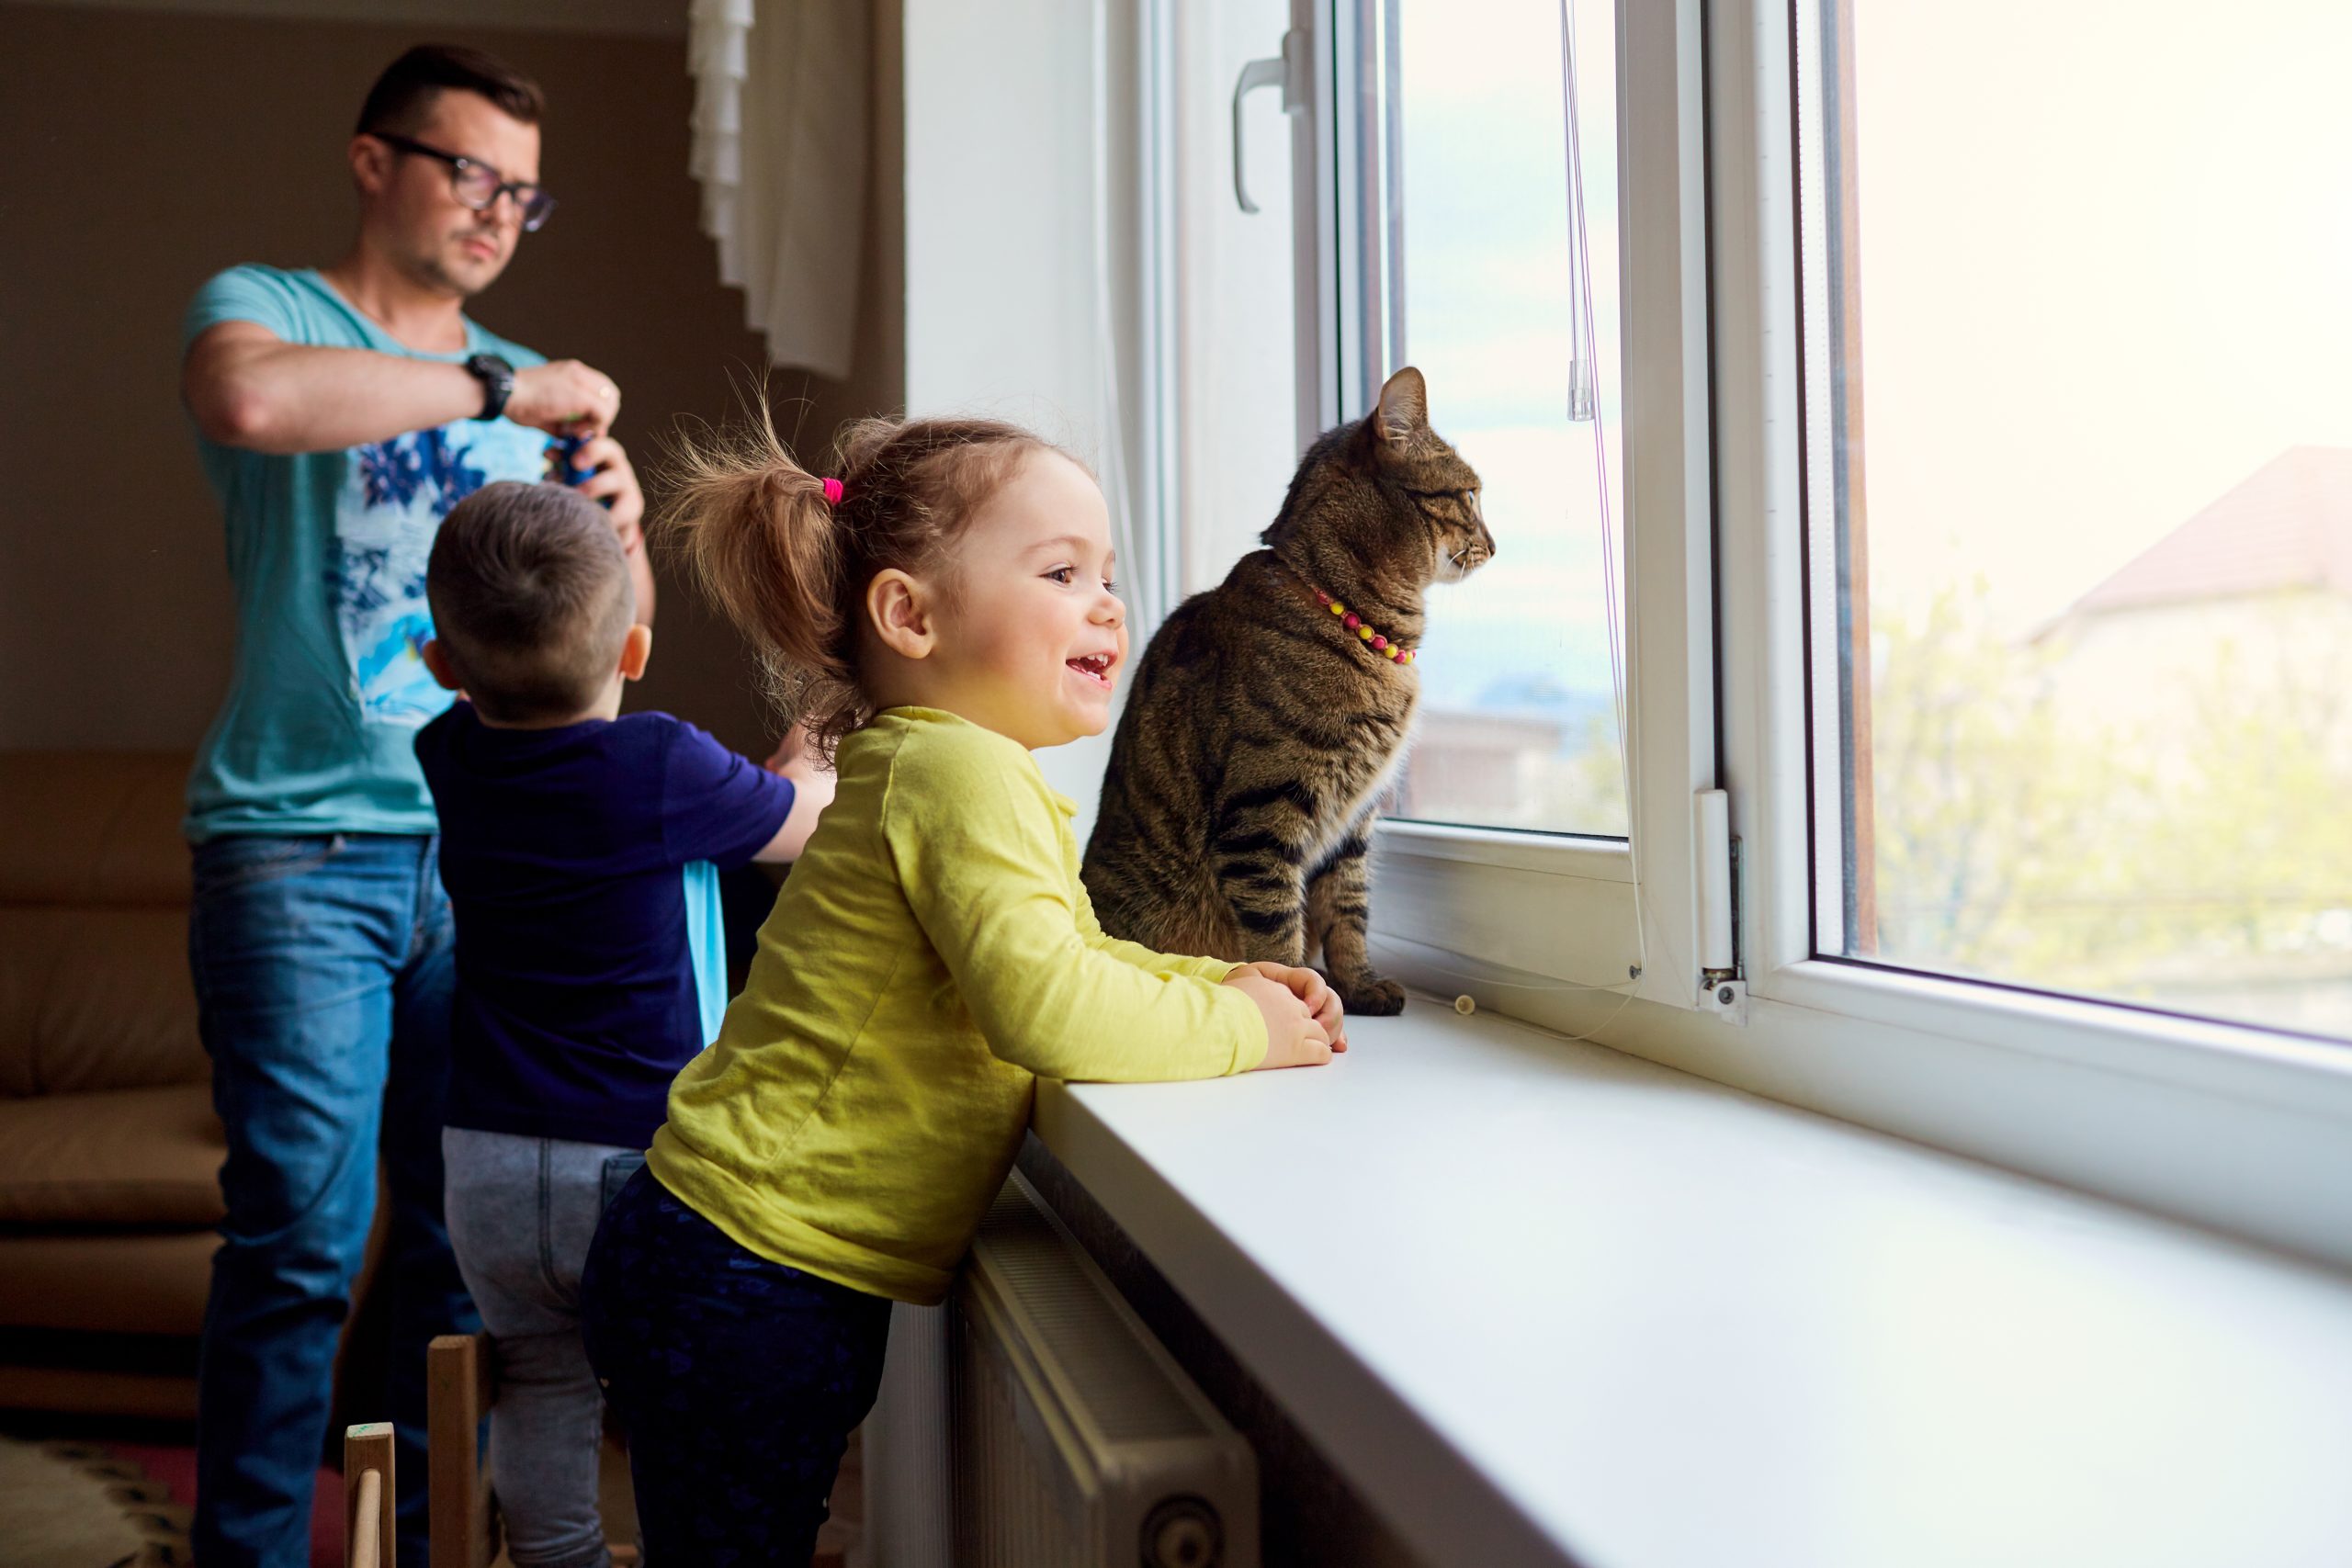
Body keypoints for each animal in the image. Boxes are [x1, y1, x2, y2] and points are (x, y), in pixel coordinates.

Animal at [1077, 364, 1486, 1020]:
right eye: (1470, 495)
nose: (1496, 544)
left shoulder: (1353, 825)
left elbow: (1348, 910)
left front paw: (1357, 985)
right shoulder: (1264, 814)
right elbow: (1278, 934)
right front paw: (1302, 1005)